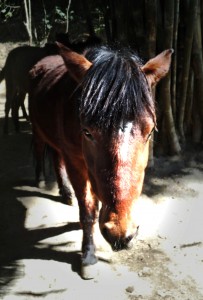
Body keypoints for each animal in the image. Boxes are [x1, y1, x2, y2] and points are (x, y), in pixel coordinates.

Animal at [29, 43, 171, 278]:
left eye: (150, 132)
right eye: (87, 132)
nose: (121, 234)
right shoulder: (77, 163)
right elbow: (87, 210)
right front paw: (88, 255)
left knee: (56, 157)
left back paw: (65, 192)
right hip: (37, 129)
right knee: (41, 148)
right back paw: (40, 178)